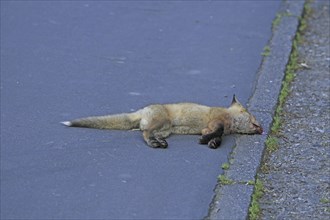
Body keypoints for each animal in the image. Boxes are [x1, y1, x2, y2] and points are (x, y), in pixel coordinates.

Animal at [62, 95, 262, 149]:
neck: (230, 120)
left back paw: (158, 141)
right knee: (145, 133)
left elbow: (218, 136)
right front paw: (207, 141)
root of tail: (143, 109)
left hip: (166, 129)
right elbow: (218, 131)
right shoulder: (215, 121)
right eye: (253, 117)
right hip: (162, 122)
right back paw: (153, 143)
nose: (262, 129)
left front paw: (212, 142)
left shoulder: (208, 127)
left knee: (148, 133)